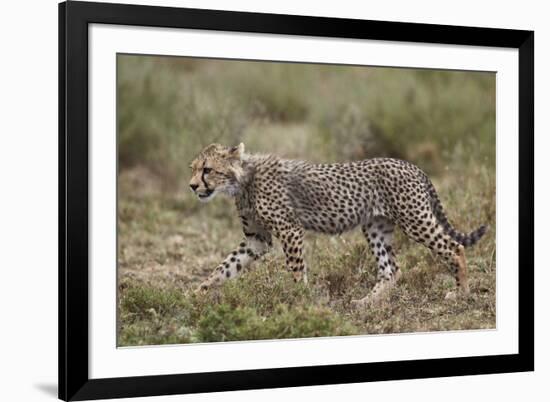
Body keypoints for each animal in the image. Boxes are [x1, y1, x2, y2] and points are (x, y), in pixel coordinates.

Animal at [190, 144, 488, 304]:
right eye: (193, 168)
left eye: (207, 169)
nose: (192, 186)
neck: (243, 180)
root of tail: (409, 164)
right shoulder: (257, 239)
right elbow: (225, 266)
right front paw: (198, 293)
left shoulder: (290, 230)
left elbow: (296, 270)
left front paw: (299, 300)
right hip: (375, 226)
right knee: (391, 269)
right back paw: (367, 303)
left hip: (415, 219)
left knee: (455, 247)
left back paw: (461, 293)